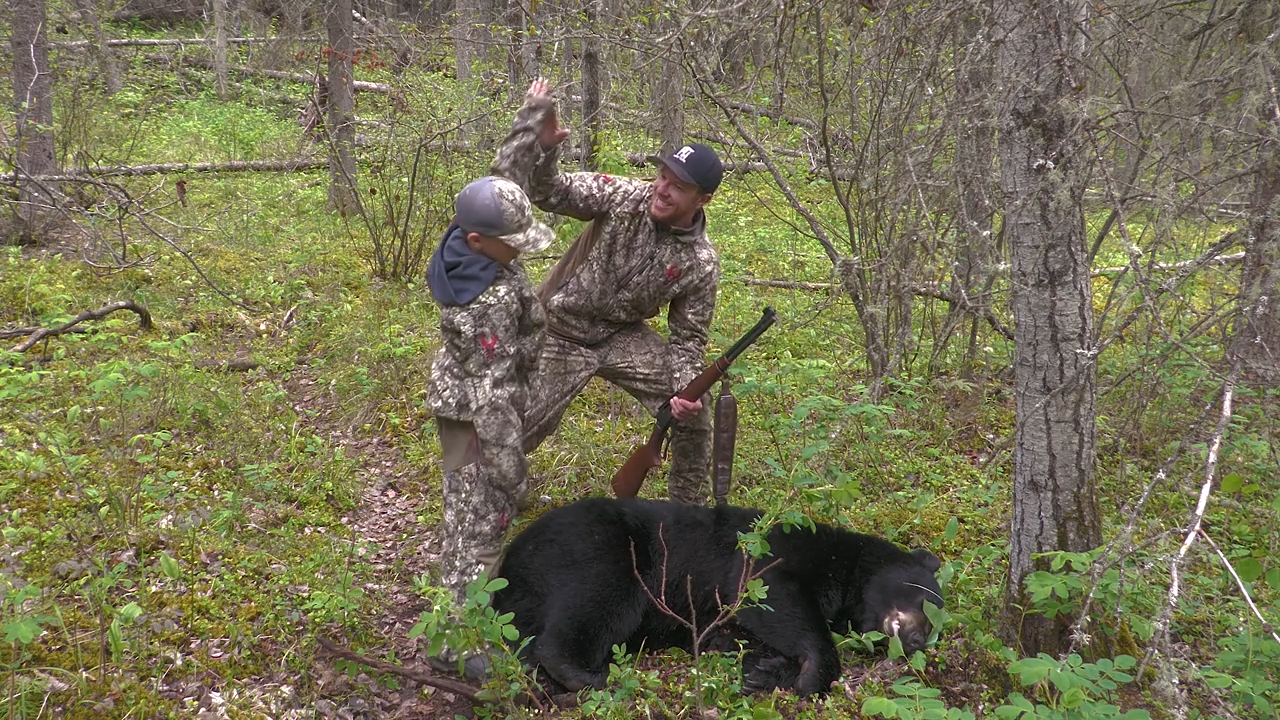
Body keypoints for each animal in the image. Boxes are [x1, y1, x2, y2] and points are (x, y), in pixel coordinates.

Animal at [491, 497, 944, 697]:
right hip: (599, 545)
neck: (845, 567)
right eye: (924, 598)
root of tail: (510, 561)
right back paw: (590, 674)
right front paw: (813, 673)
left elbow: (733, 635)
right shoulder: (779, 547)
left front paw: (763, 671)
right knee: (599, 598)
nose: (917, 640)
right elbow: (766, 588)